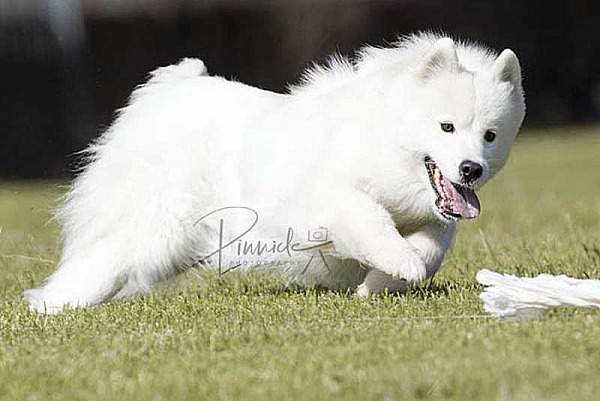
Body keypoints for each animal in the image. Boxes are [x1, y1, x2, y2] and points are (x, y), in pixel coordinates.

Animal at [25, 32, 524, 310]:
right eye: (446, 127)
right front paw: (400, 264)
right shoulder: (330, 199)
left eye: (490, 136)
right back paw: (51, 307)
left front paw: (381, 284)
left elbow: (433, 245)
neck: (386, 141)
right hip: (156, 230)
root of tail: (172, 87)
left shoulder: (434, 217)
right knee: (100, 262)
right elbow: (374, 224)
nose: (471, 169)